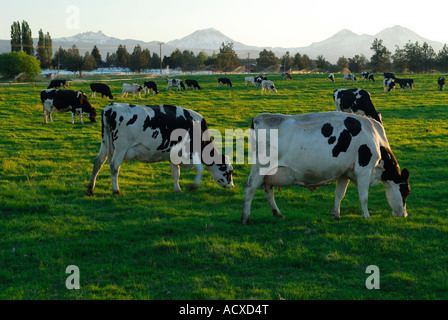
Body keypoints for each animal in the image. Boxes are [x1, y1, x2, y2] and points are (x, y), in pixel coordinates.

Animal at [86, 102, 236, 195]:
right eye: (228, 172)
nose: (232, 186)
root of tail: (110, 107)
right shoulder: (189, 152)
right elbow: (200, 168)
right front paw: (193, 186)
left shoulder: (174, 154)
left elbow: (176, 173)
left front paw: (177, 189)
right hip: (120, 148)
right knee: (114, 167)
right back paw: (116, 190)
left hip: (105, 143)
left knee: (98, 162)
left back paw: (90, 189)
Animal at [242, 112, 410, 225]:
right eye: (406, 192)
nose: (404, 215)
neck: (375, 138)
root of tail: (259, 118)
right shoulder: (364, 170)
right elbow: (364, 196)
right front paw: (366, 216)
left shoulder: (345, 173)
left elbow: (339, 194)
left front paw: (336, 214)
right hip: (260, 167)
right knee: (250, 188)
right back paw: (246, 218)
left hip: (270, 171)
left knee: (267, 189)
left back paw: (277, 214)